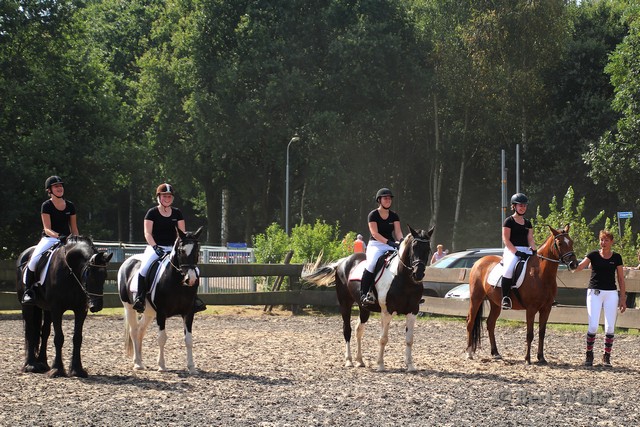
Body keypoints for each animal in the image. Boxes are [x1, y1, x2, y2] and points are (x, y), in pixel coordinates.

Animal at [15, 236, 113, 377]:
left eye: (105, 276)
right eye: (90, 275)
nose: (96, 306)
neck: (71, 271)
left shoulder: (80, 310)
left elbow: (77, 338)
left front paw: (77, 369)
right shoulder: (57, 309)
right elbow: (59, 338)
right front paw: (57, 369)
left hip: (46, 309)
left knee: (44, 332)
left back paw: (43, 363)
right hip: (28, 306)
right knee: (30, 330)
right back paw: (31, 365)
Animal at [118, 226, 204, 374]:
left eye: (197, 251)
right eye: (181, 251)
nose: (191, 279)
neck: (177, 282)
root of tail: (128, 261)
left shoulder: (188, 313)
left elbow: (189, 339)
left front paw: (192, 367)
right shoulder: (161, 313)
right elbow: (162, 338)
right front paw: (162, 366)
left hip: (149, 313)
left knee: (140, 331)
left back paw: (140, 360)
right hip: (128, 307)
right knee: (134, 331)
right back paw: (137, 363)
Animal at [303, 225, 434, 372]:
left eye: (428, 249)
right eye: (414, 247)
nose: (418, 274)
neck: (403, 279)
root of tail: (343, 262)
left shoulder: (413, 311)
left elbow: (409, 339)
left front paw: (410, 366)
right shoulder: (387, 311)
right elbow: (383, 338)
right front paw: (380, 365)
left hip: (364, 307)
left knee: (358, 330)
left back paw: (360, 360)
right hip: (345, 304)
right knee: (347, 330)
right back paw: (349, 360)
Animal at [466, 224, 578, 364]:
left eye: (571, 242)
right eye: (560, 243)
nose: (574, 264)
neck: (541, 274)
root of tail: (479, 262)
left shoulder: (546, 308)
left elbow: (542, 333)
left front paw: (541, 358)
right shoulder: (531, 309)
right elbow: (529, 334)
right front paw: (527, 359)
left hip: (496, 303)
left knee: (490, 324)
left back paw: (495, 353)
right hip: (476, 298)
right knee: (470, 322)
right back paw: (469, 353)